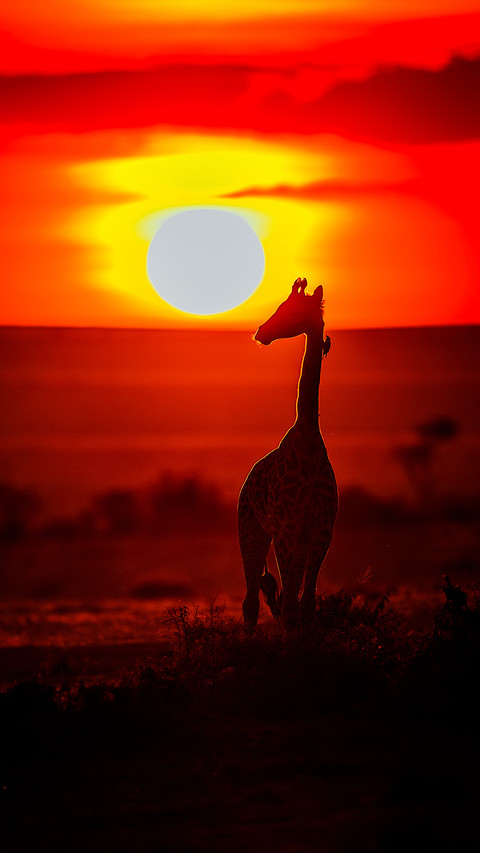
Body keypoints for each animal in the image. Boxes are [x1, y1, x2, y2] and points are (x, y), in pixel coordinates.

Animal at [238, 277, 338, 636]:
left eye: (291, 309)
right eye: (281, 305)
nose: (260, 332)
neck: (307, 440)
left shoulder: (320, 532)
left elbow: (305, 605)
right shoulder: (287, 529)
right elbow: (290, 605)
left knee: (280, 599)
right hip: (252, 531)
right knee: (251, 601)